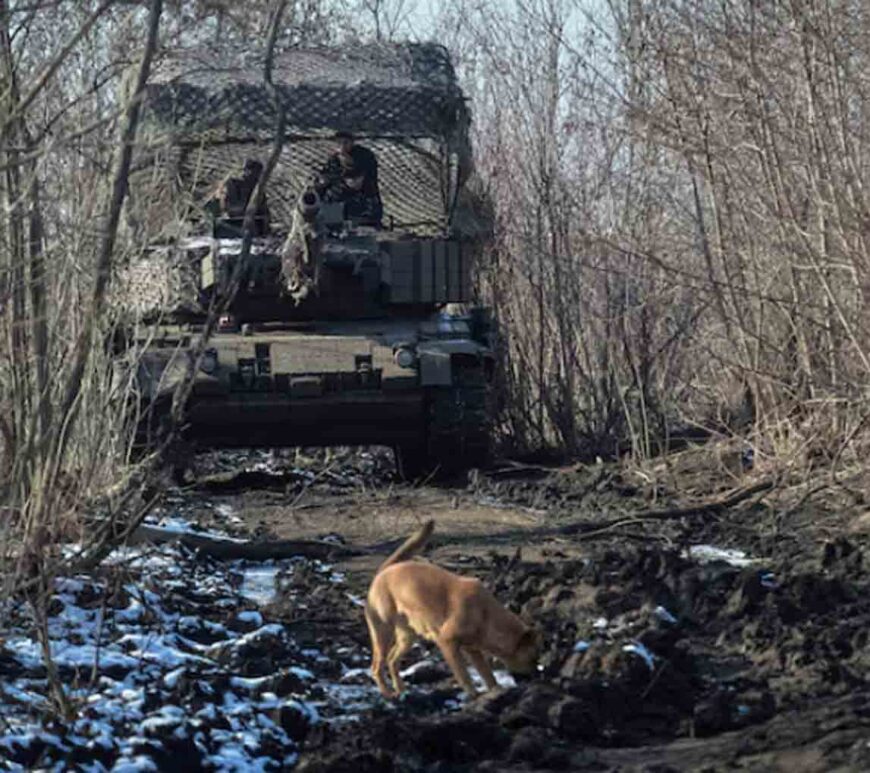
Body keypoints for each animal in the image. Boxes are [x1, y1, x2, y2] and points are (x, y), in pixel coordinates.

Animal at [364, 520, 540, 696]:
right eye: (533, 659)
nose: (539, 676)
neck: (486, 614)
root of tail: (384, 571)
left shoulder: (473, 651)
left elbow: (487, 674)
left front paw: (495, 689)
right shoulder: (447, 643)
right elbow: (464, 676)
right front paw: (474, 695)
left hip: (407, 637)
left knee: (392, 660)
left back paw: (401, 690)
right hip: (383, 633)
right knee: (376, 667)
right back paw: (388, 695)